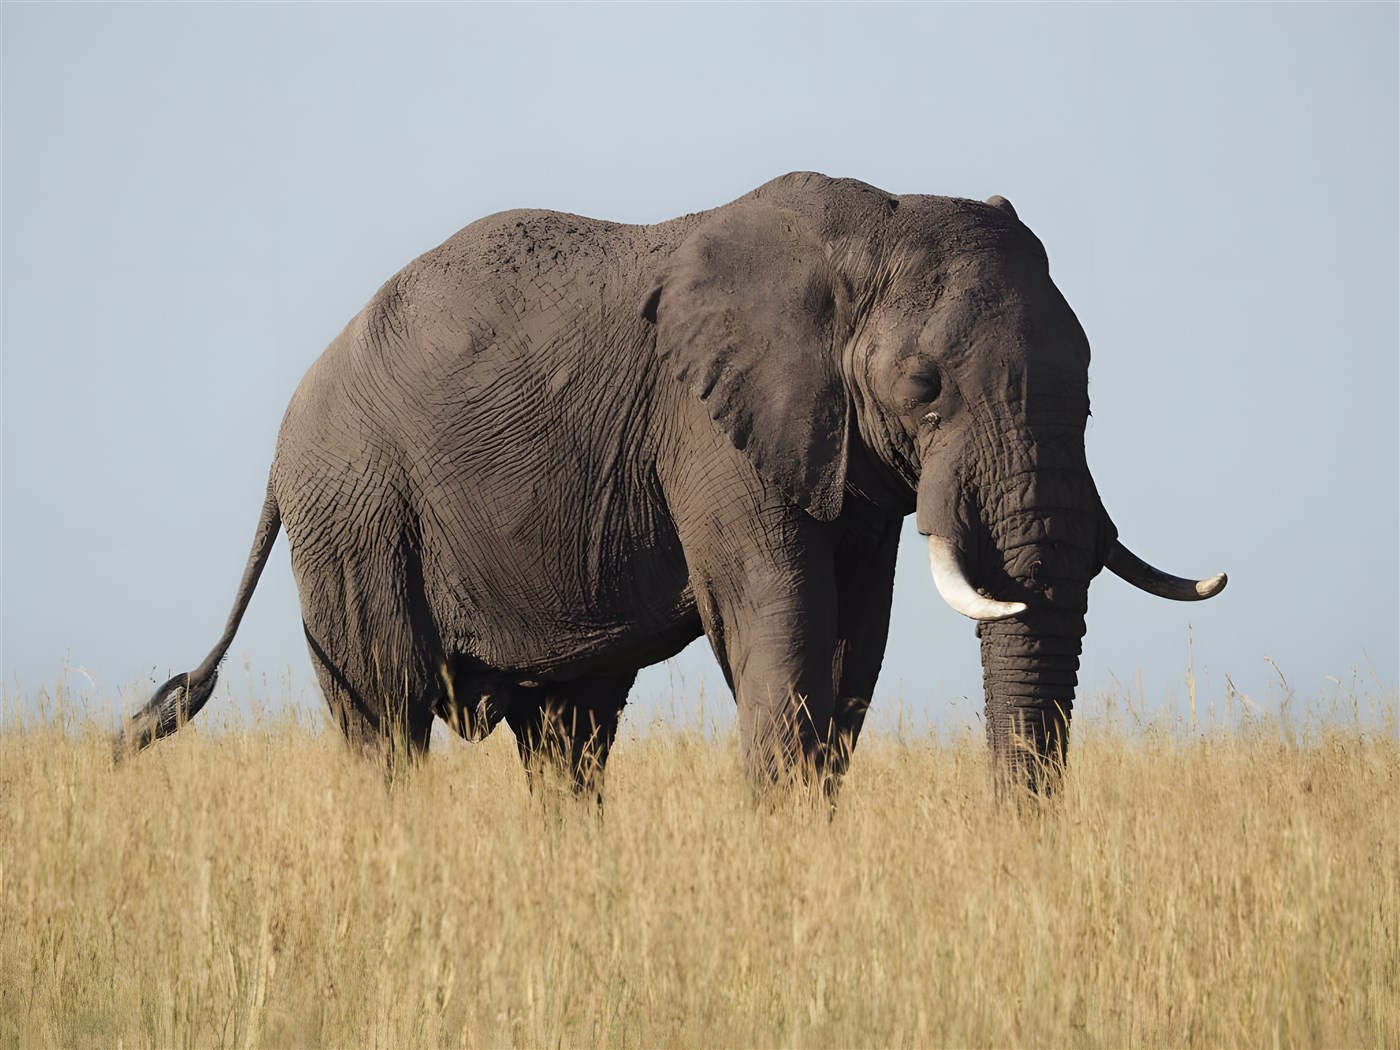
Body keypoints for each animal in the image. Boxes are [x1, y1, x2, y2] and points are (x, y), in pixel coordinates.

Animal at [116, 172, 1226, 797]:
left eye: (1092, 393)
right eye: (923, 388)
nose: (1014, 839)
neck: (863, 232)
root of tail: (288, 428)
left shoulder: (842, 456)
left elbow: (849, 650)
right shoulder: (710, 431)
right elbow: (782, 625)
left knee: (566, 738)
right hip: (354, 509)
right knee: (386, 720)